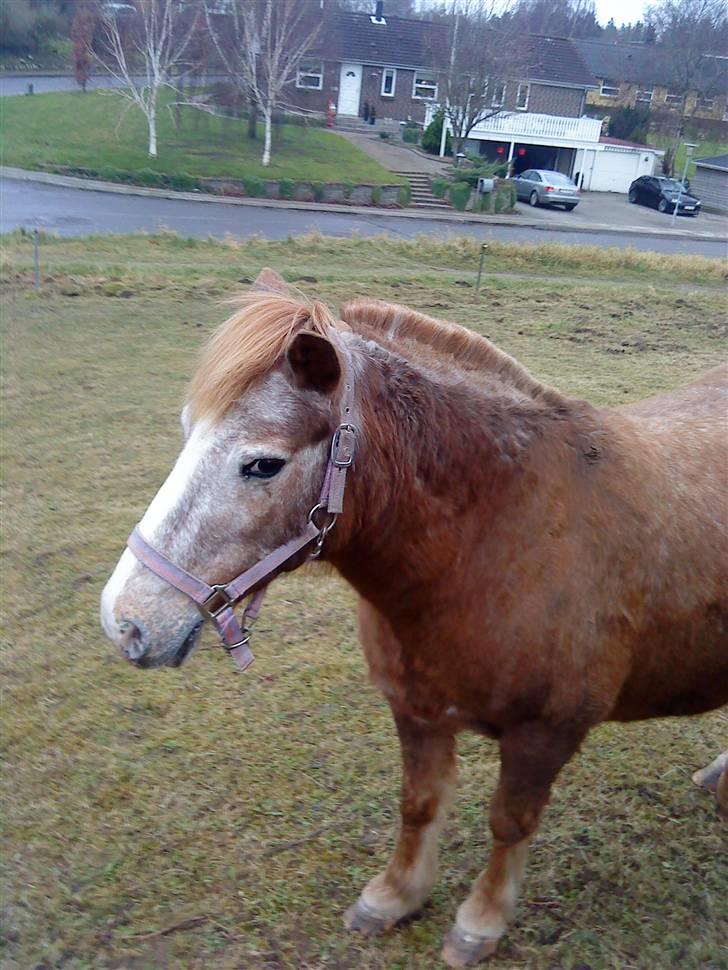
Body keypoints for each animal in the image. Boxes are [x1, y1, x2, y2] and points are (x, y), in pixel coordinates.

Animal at [101, 269, 728, 966]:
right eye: (188, 430)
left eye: (262, 464)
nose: (127, 622)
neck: (499, 536)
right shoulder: (416, 710)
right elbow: (419, 806)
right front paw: (394, 896)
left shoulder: (546, 733)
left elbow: (509, 823)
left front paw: (480, 922)